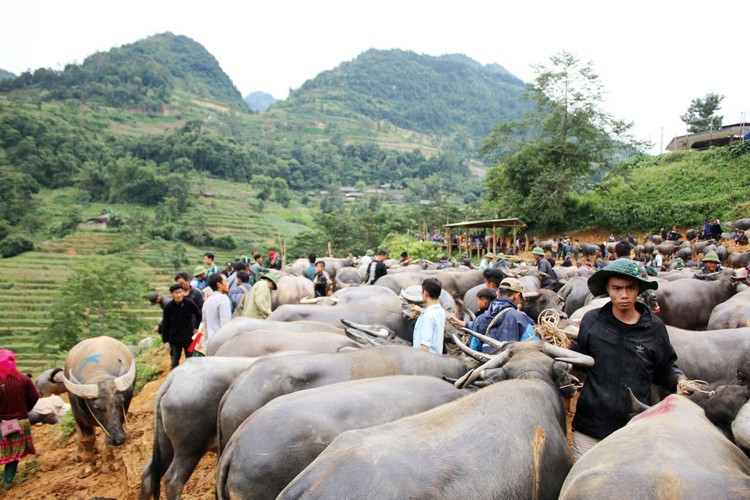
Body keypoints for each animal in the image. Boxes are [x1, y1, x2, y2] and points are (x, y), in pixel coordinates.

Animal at [63, 336, 137, 472]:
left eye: (120, 402)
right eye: (96, 407)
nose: (120, 438)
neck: (98, 373)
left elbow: (107, 438)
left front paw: (109, 462)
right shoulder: (78, 415)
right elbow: (88, 439)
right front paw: (88, 464)